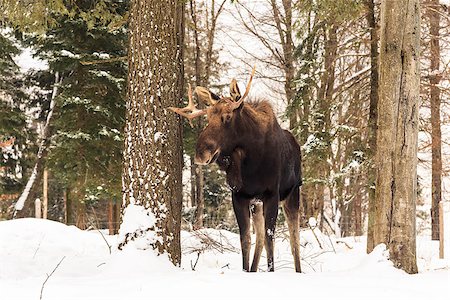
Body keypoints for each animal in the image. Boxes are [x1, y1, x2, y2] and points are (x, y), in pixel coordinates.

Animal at [169, 69, 302, 274]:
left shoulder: (272, 193)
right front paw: (246, 270)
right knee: (260, 236)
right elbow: (246, 239)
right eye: (208, 117)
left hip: (293, 193)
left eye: (228, 117)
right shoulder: (239, 195)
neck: (250, 163)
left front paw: (270, 271)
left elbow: (271, 239)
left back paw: (298, 270)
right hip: (257, 203)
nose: (200, 153)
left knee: (294, 238)